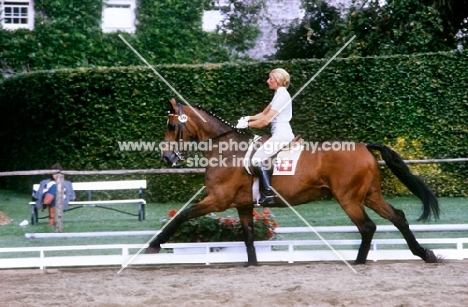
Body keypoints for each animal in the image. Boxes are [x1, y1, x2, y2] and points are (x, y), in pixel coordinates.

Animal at [147, 99, 442, 268]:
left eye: (172, 127)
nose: (166, 157)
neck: (225, 149)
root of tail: (364, 147)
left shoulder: (218, 200)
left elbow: (183, 215)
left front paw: (155, 245)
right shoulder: (243, 205)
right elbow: (249, 236)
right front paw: (252, 265)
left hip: (348, 198)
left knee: (367, 226)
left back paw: (358, 262)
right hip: (369, 195)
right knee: (398, 217)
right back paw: (424, 253)